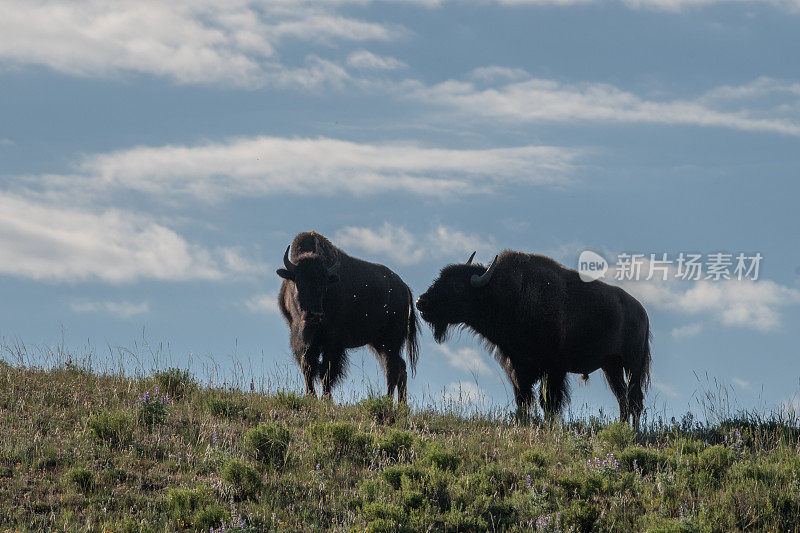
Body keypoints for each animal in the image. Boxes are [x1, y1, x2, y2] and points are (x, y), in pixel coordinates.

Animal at [278, 231, 422, 402]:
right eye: (299, 282)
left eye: (324, 285)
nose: (315, 315)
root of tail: (404, 288)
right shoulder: (305, 342)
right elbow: (308, 367)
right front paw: (311, 396)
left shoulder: (332, 343)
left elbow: (327, 371)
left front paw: (326, 399)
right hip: (379, 343)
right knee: (400, 367)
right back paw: (401, 404)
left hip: (390, 342)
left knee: (392, 369)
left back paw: (387, 400)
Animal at [416, 250, 652, 428]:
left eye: (456, 286)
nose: (420, 302)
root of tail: (641, 311)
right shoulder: (518, 368)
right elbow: (524, 399)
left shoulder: (554, 370)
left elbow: (549, 402)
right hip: (611, 367)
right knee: (622, 398)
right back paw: (622, 428)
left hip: (633, 364)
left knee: (634, 399)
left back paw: (633, 432)